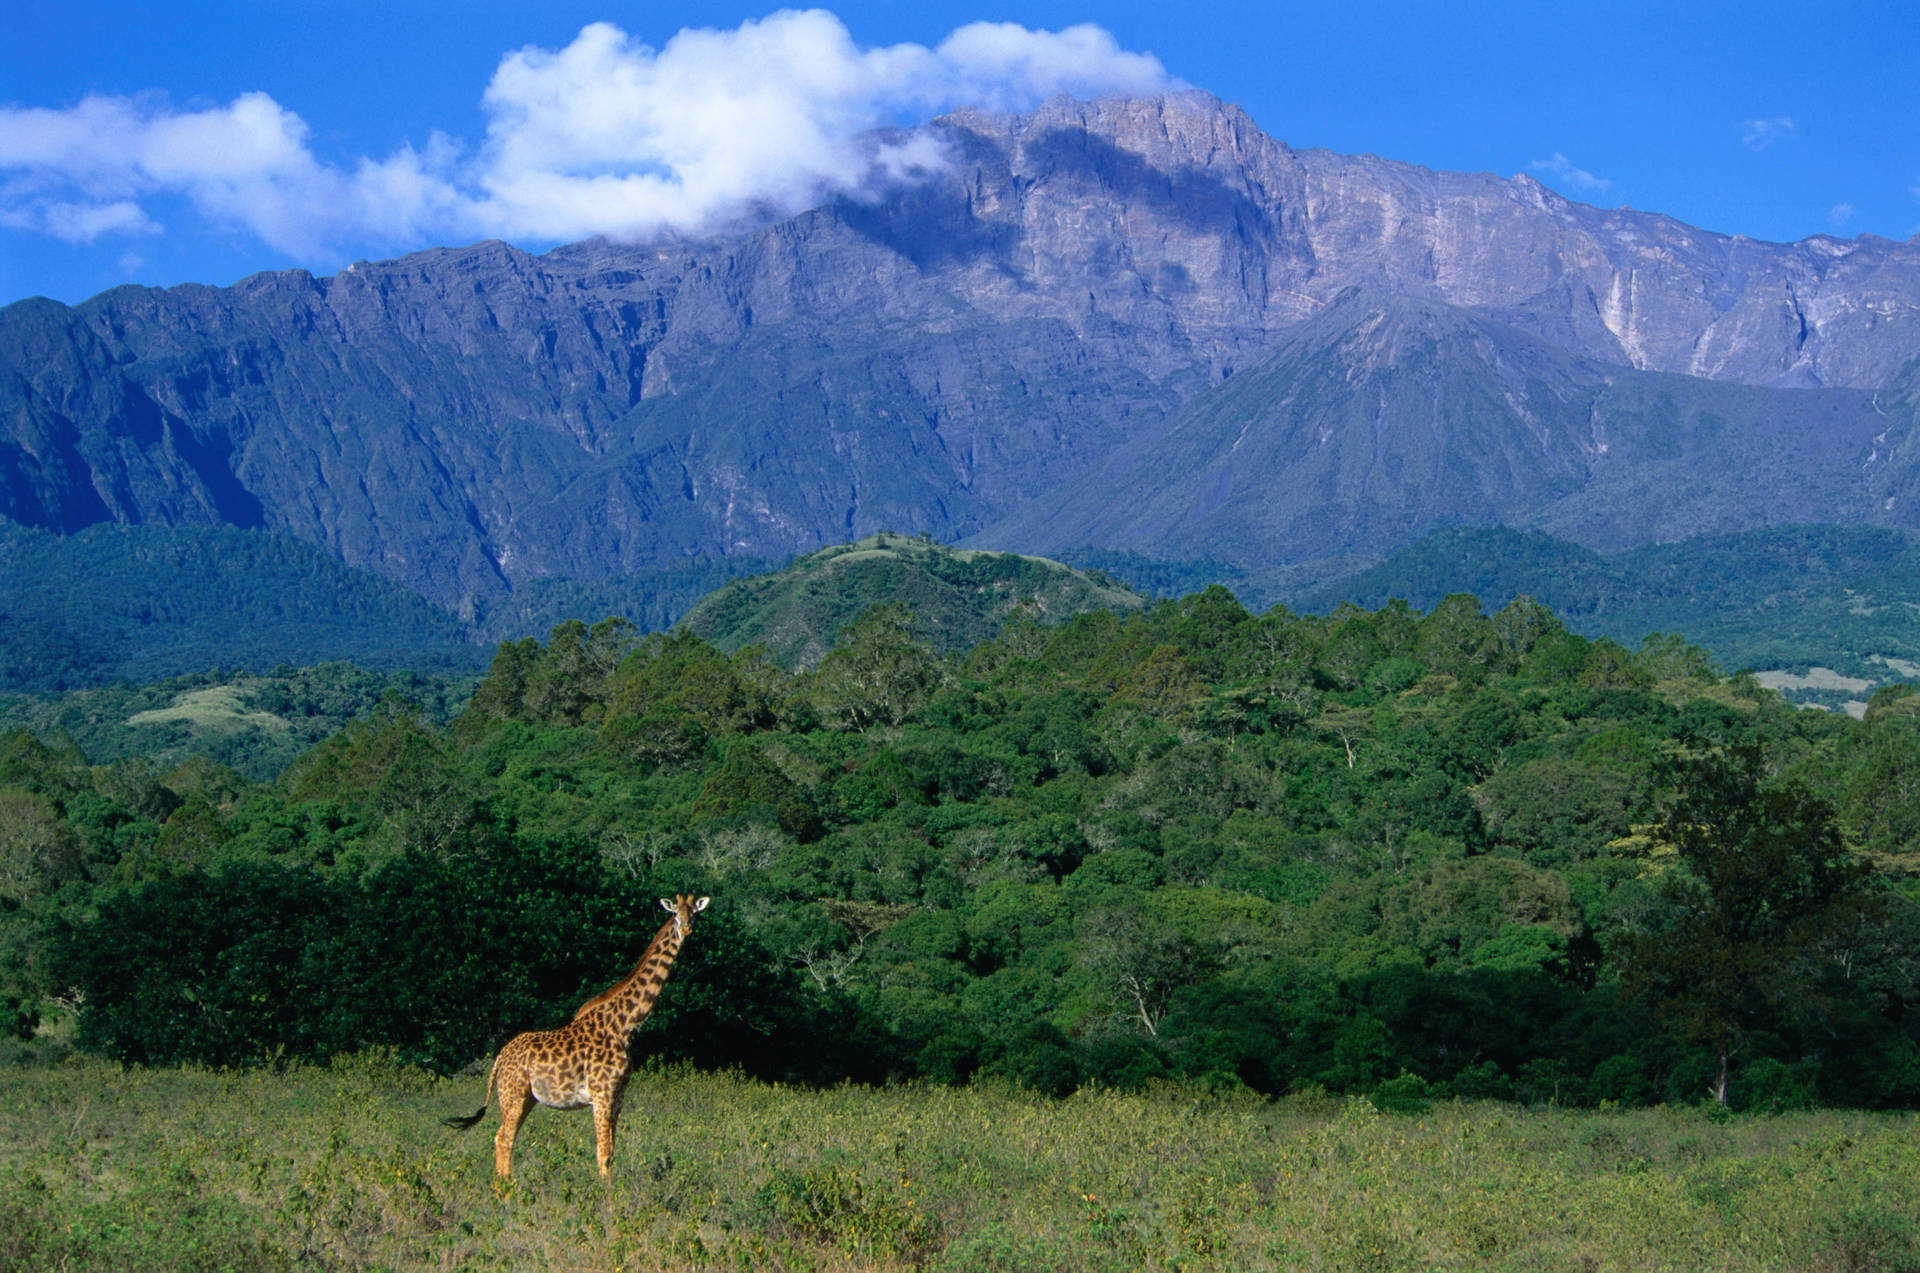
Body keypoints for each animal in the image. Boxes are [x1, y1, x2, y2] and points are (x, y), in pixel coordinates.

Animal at [443, 890, 714, 1182]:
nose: (686, 929)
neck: (625, 1025)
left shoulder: (618, 1096)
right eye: (675, 913)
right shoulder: (602, 1093)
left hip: (526, 1098)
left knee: (504, 1138)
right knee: (503, 1138)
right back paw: (506, 1191)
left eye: (695, 913)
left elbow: (611, 1154)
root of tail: (499, 1058)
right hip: (512, 1094)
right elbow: (603, 1154)